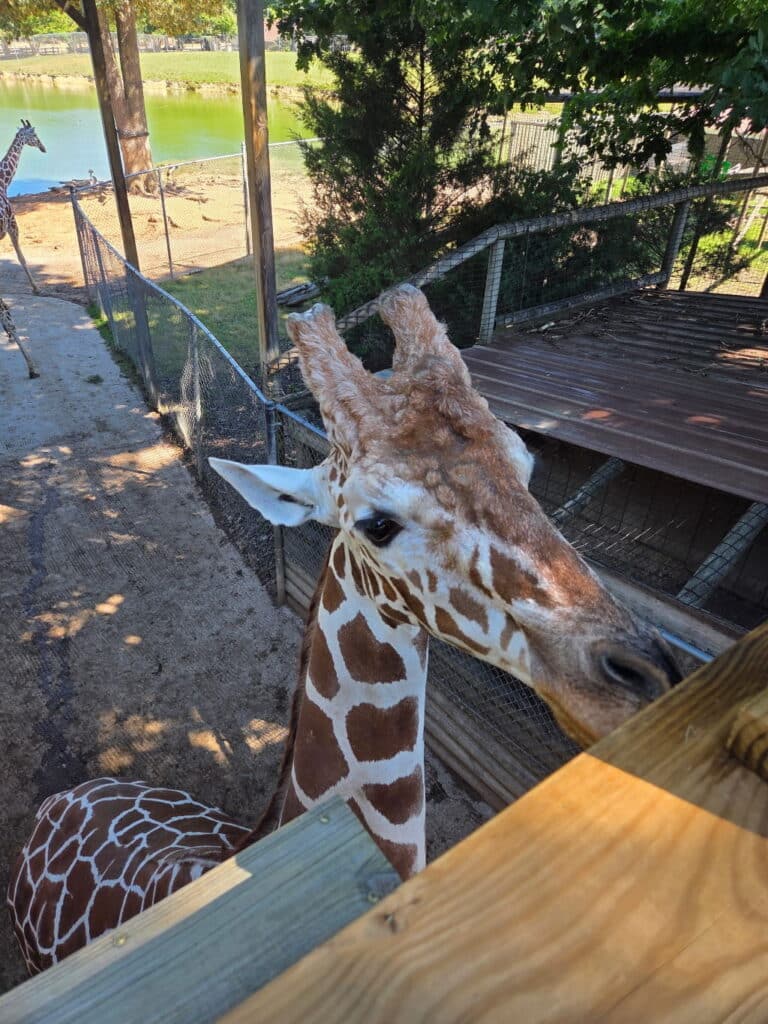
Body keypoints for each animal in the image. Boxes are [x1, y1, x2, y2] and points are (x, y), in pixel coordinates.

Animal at [0, 120, 46, 296]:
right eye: (34, 134)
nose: (43, 147)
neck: (3, 181)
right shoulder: (13, 225)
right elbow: (22, 258)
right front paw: (36, 288)